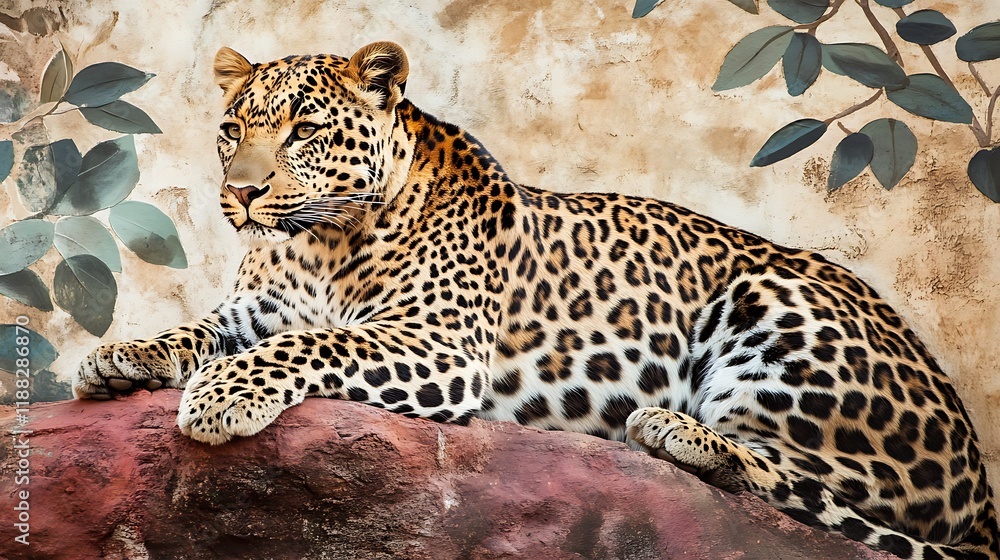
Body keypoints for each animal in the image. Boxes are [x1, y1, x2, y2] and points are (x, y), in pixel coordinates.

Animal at [73, 41, 999, 559]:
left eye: (304, 130)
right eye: (234, 129)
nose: (241, 193)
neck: (315, 242)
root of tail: (978, 479)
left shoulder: (435, 346)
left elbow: (316, 343)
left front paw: (220, 399)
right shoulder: (254, 313)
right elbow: (197, 328)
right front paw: (116, 356)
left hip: (776, 307)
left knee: (834, 486)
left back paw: (672, 430)